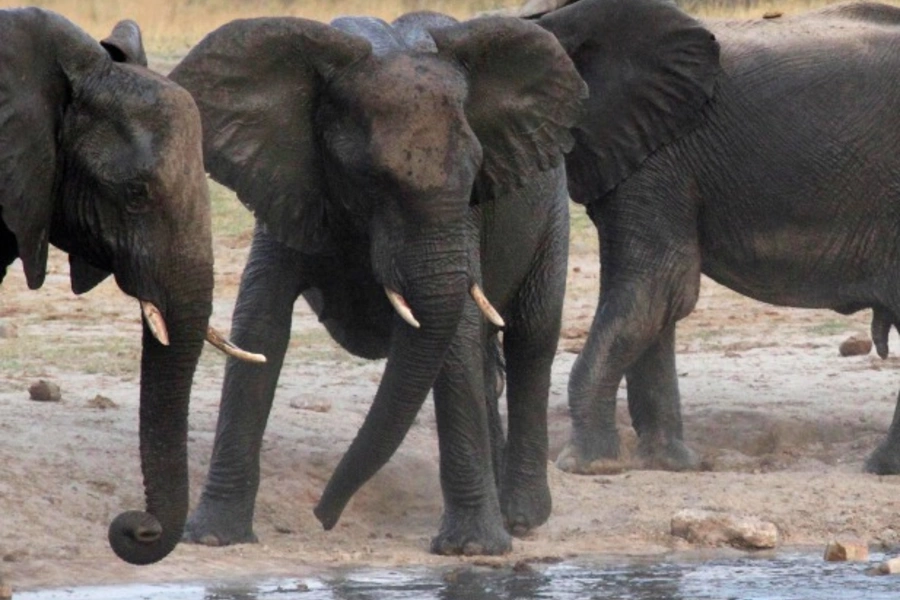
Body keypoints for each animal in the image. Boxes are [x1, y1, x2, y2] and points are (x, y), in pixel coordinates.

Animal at [171, 10, 588, 552]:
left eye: (476, 175)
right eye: (371, 179)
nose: (322, 517)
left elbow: (454, 337)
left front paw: (472, 549)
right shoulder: (291, 182)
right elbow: (261, 324)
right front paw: (212, 537)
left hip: (551, 214)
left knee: (531, 338)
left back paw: (520, 518)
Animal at [528, 0, 900, 476]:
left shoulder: (661, 157)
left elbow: (656, 287)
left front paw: (588, 466)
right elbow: (655, 300)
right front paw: (669, 464)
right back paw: (884, 467)